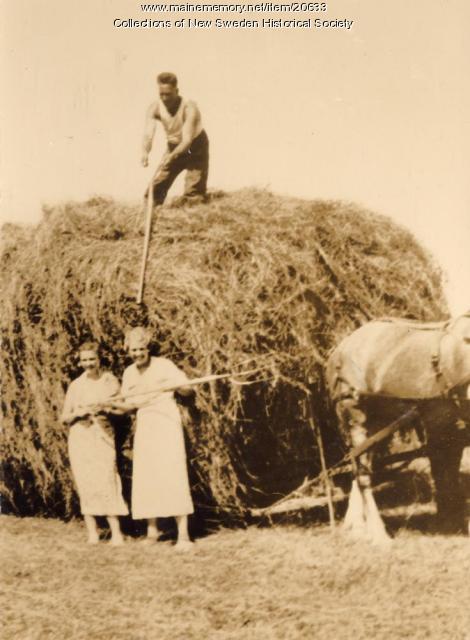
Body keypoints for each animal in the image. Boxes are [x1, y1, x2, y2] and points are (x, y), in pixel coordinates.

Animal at [324, 312, 470, 544]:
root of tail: (340, 348)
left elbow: (448, 471)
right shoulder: (439, 422)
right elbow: (443, 472)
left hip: (378, 424)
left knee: (360, 467)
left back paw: (357, 527)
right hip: (355, 415)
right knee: (362, 475)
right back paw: (377, 533)